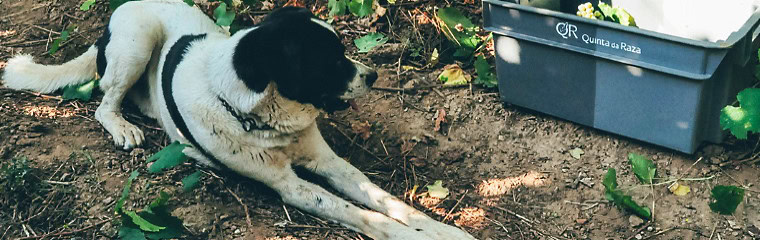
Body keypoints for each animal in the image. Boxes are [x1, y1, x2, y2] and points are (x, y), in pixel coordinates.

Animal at [1, 0, 476, 239]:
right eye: (330, 61)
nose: (373, 76)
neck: (263, 119)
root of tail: (109, 25)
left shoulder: (329, 162)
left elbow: (384, 200)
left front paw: (440, 230)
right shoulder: (290, 187)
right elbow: (361, 214)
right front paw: (417, 237)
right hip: (136, 42)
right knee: (104, 101)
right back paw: (124, 128)